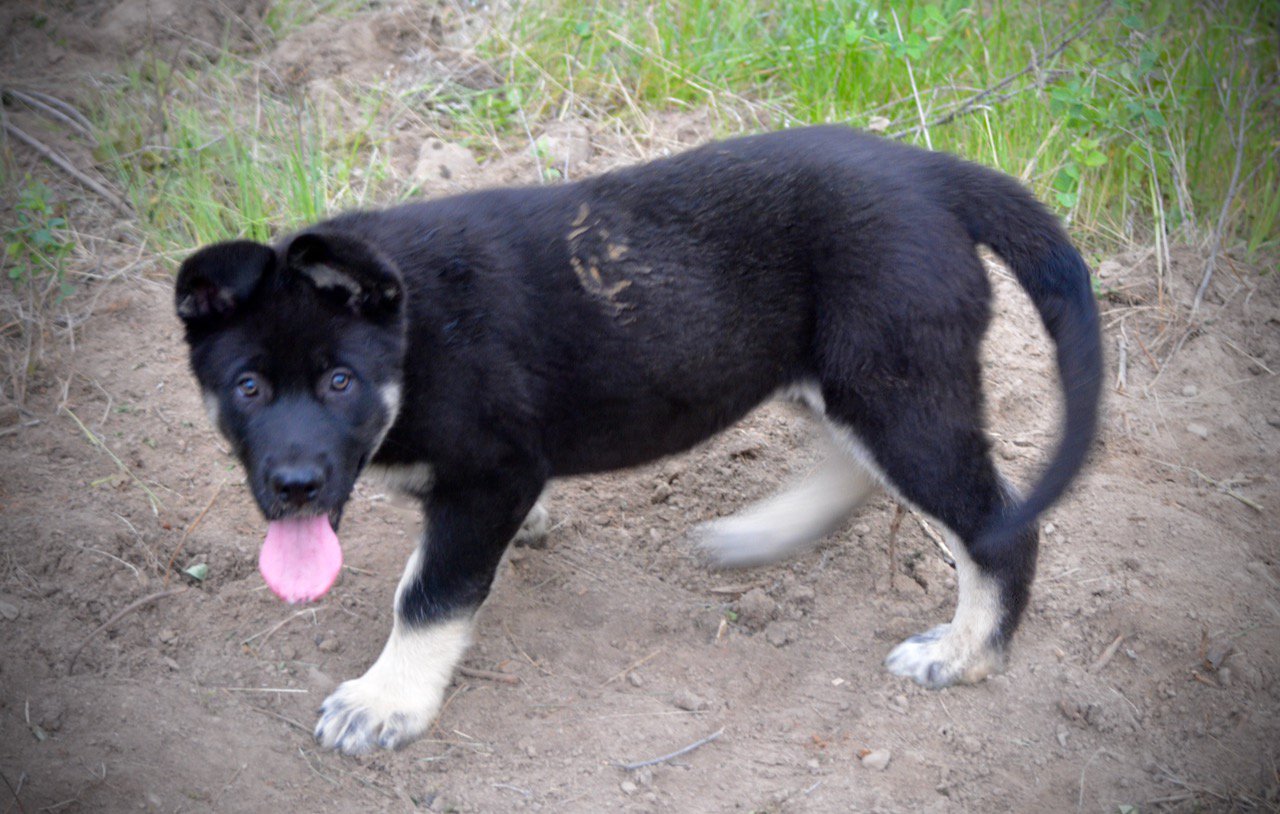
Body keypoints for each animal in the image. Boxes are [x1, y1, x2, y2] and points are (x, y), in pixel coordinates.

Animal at [175, 125, 1105, 757]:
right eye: (248, 389)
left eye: (341, 383)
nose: (294, 486)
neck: (412, 333)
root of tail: (931, 171)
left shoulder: (490, 474)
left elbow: (429, 595)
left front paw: (386, 701)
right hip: (837, 377)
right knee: (856, 467)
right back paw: (763, 533)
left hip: (894, 388)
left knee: (997, 530)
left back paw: (963, 654)